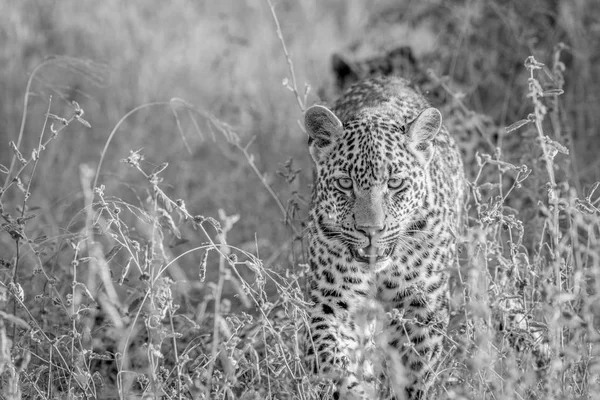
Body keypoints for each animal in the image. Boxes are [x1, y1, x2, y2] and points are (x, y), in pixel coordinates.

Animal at [304, 76, 464, 400]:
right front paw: (354, 390)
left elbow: (413, 371)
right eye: (344, 183)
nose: (370, 229)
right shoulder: (330, 300)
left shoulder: (421, 306)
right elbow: (330, 358)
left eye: (395, 183)